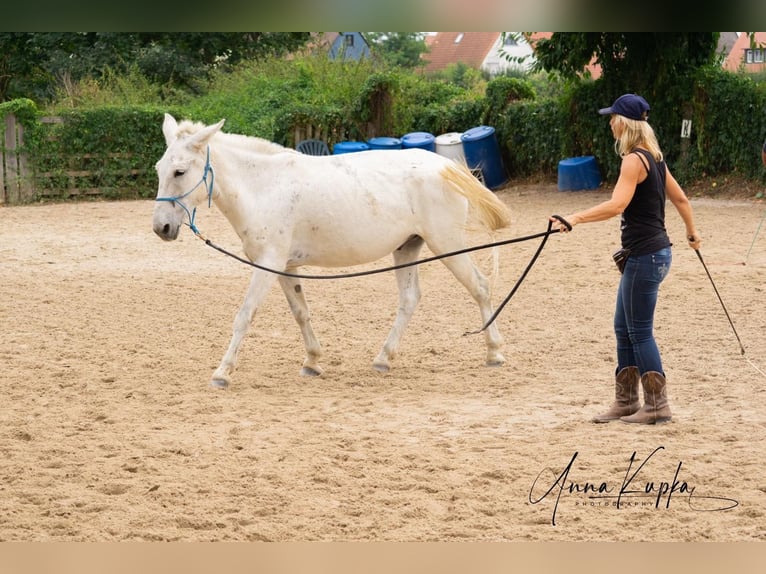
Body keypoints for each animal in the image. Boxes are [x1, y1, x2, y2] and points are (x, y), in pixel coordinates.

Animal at [152, 114, 512, 388]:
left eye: (180, 171)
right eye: (158, 168)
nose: (161, 227)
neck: (264, 186)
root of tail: (446, 167)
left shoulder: (267, 263)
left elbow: (245, 315)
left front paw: (222, 372)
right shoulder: (283, 267)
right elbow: (301, 313)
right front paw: (312, 362)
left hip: (448, 244)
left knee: (480, 287)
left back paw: (494, 352)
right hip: (407, 248)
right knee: (410, 300)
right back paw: (383, 358)